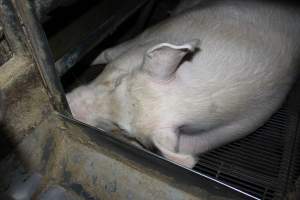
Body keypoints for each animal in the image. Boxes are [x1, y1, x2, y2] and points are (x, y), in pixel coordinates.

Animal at [67, 0, 300, 168]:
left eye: (123, 129)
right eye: (118, 82)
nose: (70, 107)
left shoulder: (226, 132)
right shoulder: (156, 32)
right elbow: (108, 52)